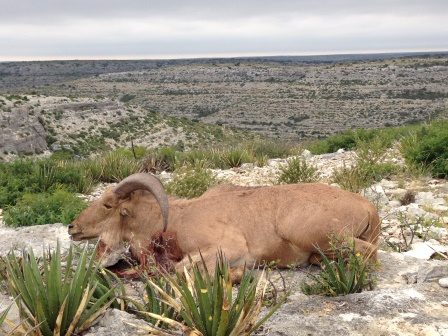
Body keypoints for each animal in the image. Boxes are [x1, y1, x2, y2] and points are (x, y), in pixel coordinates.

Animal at [68, 173, 380, 280]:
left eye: (108, 205)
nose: (72, 227)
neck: (175, 221)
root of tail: (367, 206)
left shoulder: (228, 246)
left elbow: (182, 269)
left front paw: (237, 274)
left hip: (321, 236)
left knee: (369, 253)